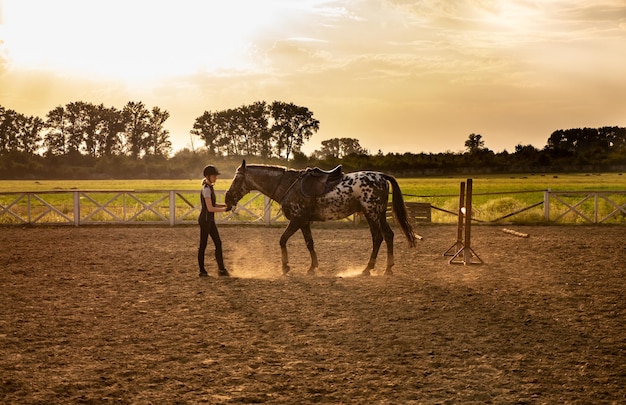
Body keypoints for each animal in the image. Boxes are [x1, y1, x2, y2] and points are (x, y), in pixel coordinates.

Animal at [222, 159, 416, 276]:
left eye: (236, 179)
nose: (227, 198)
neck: (288, 185)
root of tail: (381, 176)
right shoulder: (304, 222)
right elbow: (310, 243)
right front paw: (312, 267)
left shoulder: (297, 220)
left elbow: (282, 240)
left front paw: (285, 266)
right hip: (380, 214)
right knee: (389, 235)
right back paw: (388, 268)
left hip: (372, 214)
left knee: (377, 238)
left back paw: (368, 268)